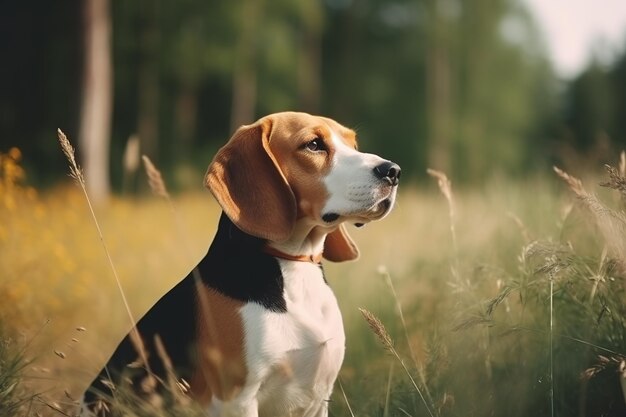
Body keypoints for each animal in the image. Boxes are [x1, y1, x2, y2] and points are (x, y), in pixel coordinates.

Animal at [80, 111, 400, 416]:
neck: (293, 267)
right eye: (313, 145)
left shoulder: (320, 398)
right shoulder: (237, 398)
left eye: (353, 144)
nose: (393, 171)